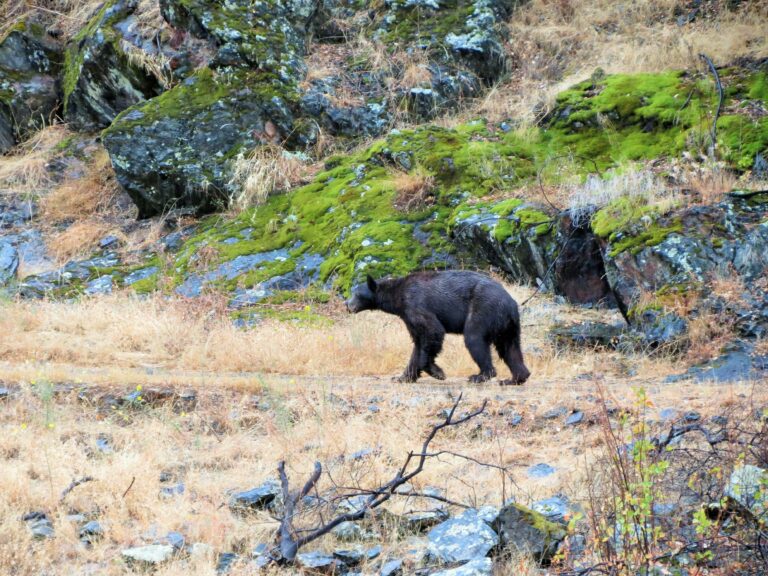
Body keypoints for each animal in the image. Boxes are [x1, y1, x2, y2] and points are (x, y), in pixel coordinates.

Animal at [344, 272, 532, 388]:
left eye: (356, 294)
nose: (347, 304)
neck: (397, 297)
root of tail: (510, 303)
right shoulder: (408, 317)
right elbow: (418, 343)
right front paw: (403, 377)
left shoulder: (416, 306)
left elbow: (433, 331)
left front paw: (437, 372)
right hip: (508, 325)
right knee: (510, 348)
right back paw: (515, 378)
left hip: (484, 309)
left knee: (474, 338)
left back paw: (480, 375)